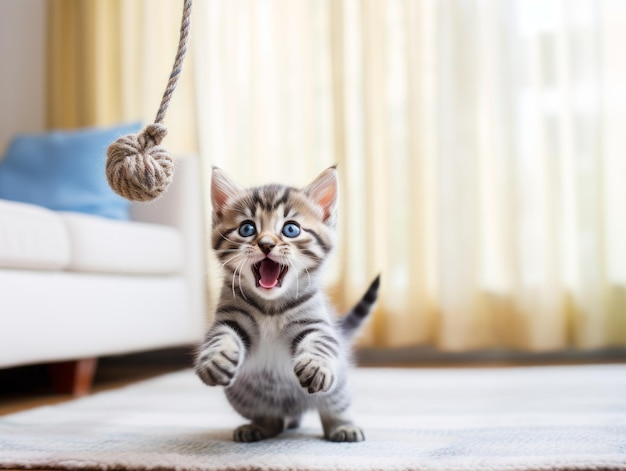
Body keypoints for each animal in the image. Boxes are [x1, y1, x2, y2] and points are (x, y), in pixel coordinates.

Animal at [193, 166, 378, 442]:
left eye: (291, 230)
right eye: (247, 229)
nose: (266, 244)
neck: (271, 306)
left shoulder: (316, 323)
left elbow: (320, 343)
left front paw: (315, 364)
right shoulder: (230, 317)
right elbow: (220, 336)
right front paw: (217, 359)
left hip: (338, 387)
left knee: (334, 407)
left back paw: (343, 427)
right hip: (241, 396)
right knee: (274, 421)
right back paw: (259, 427)